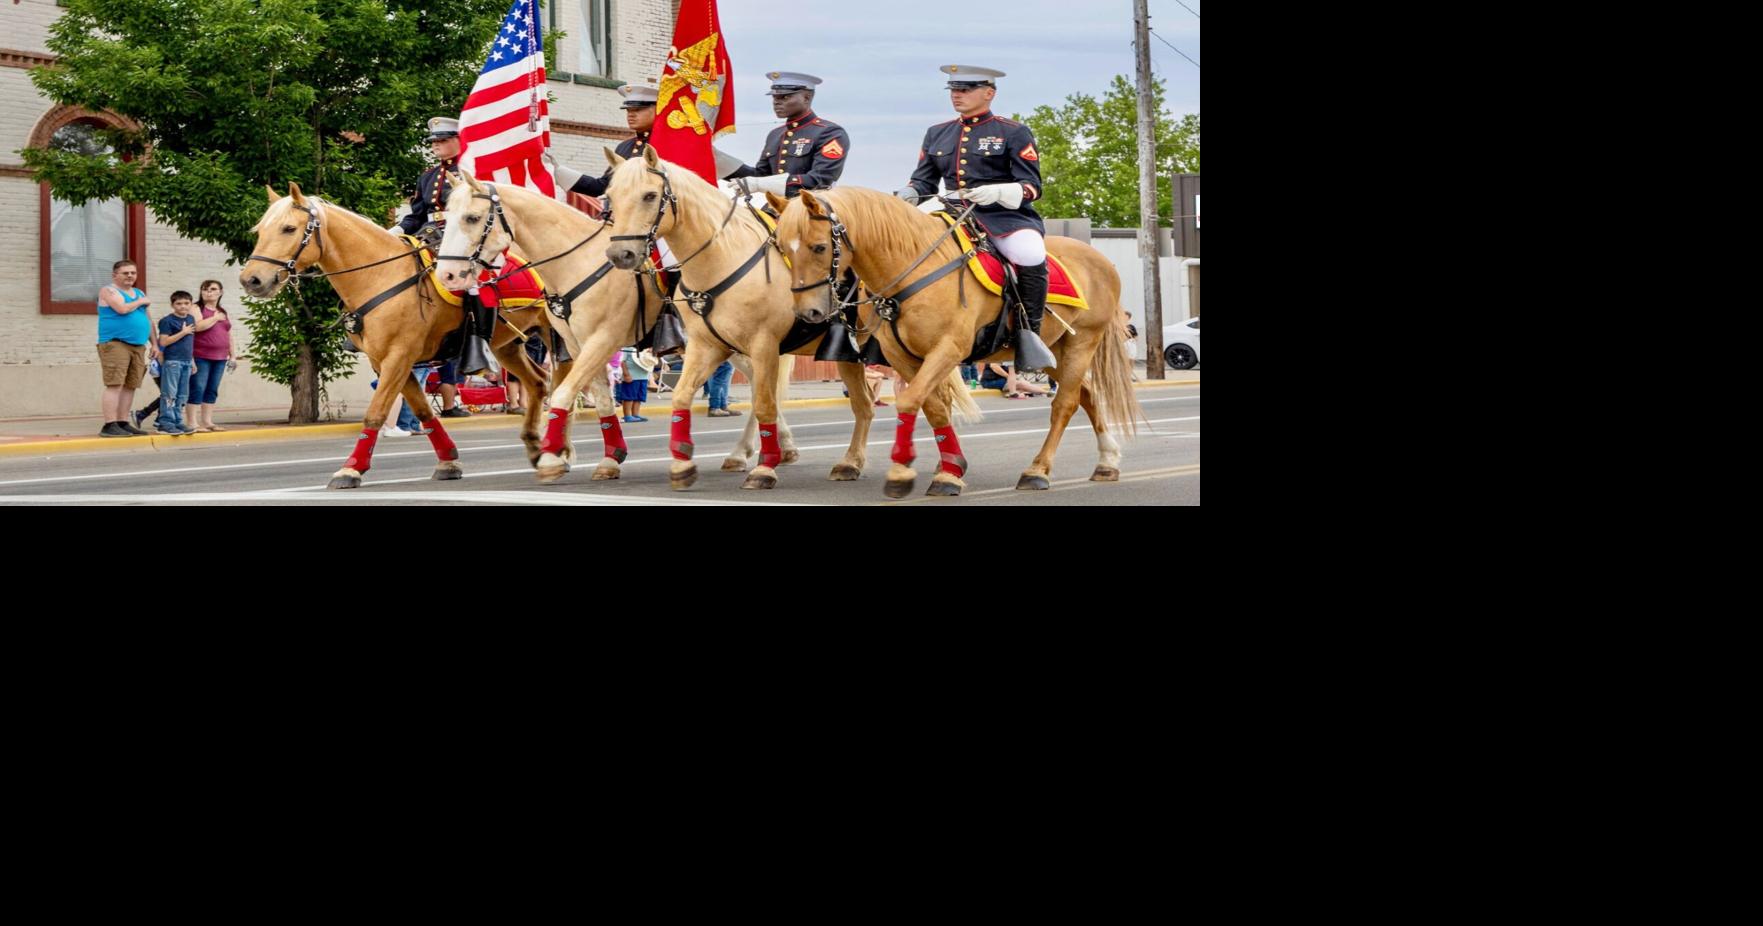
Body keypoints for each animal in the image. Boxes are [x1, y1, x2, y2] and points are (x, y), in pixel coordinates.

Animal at [238, 182, 571, 490]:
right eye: (260, 230)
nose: (251, 280)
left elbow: (375, 412)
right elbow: (422, 410)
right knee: (538, 383)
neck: (381, 277)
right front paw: (448, 460)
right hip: (507, 346)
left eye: (288, 228)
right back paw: (538, 448)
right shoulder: (389, 361)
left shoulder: (398, 357)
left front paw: (351, 468)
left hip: (561, 334)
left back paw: (559, 452)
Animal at [431, 171, 807, 483]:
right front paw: (609, 458)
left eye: (472, 218)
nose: (447, 276)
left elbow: (563, 393)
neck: (577, 261)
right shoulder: (580, 344)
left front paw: (552, 458)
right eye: (446, 219)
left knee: (765, 388)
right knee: (763, 386)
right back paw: (767, 449)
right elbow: (600, 401)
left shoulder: (603, 339)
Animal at [599, 142, 973, 490]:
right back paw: (853, 462)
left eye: (649, 195)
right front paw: (681, 464)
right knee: (875, 403)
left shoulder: (763, 344)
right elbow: (682, 395)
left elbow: (765, 402)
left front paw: (765, 468)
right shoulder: (708, 346)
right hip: (851, 354)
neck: (723, 257)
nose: (620, 253)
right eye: (610, 197)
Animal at [775, 186, 1142, 497]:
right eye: (782, 246)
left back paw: (1038, 470)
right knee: (1087, 394)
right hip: (1052, 350)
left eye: (819, 247)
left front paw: (903, 472)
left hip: (1083, 342)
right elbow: (934, 407)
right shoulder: (902, 355)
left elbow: (910, 402)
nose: (808, 311)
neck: (911, 269)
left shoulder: (949, 348)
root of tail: (1102, 260)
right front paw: (951, 469)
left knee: (1065, 403)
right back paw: (1107, 461)